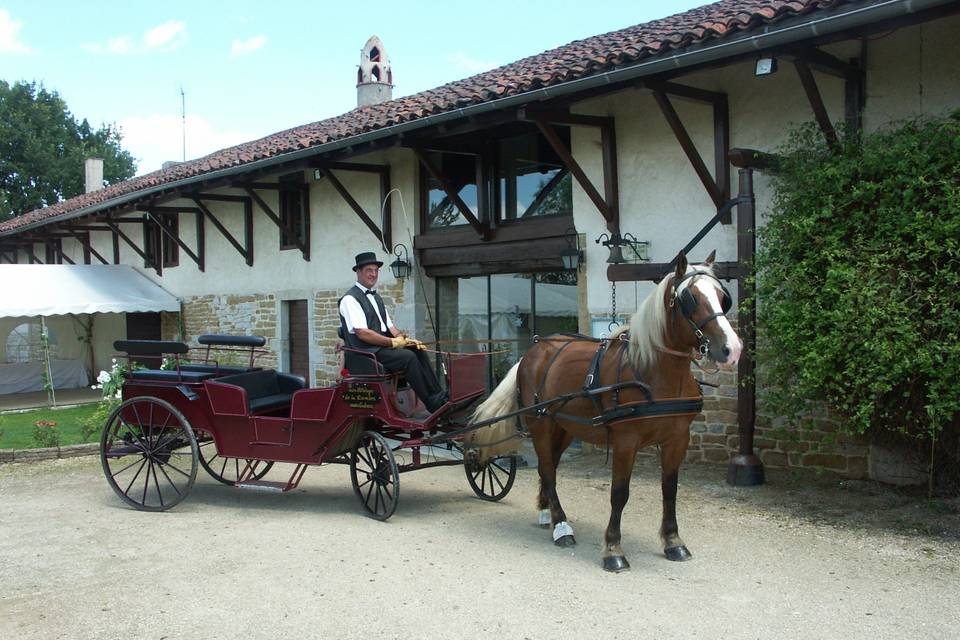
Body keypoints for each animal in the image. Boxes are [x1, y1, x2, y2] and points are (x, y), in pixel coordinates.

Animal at [464, 249, 744, 568]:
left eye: (723, 297)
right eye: (690, 298)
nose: (732, 349)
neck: (653, 372)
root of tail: (532, 352)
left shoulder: (678, 439)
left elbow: (670, 489)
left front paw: (673, 541)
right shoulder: (626, 440)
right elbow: (619, 492)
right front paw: (613, 549)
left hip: (563, 426)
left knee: (551, 468)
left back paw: (548, 513)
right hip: (541, 424)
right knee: (547, 468)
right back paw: (562, 526)